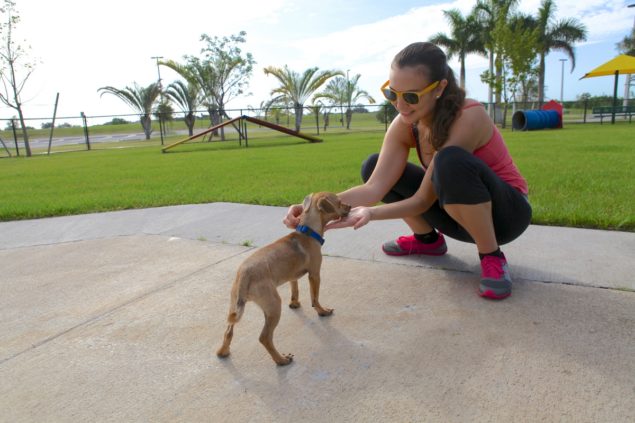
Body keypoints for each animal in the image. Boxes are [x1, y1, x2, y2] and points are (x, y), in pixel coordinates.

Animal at [216, 194, 350, 366]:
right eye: (339, 202)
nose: (350, 206)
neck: (307, 232)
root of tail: (244, 274)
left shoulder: (293, 276)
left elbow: (295, 289)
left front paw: (295, 304)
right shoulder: (315, 274)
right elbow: (315, 298)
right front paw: (322, 311)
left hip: (235, 305)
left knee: (228, 331)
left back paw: (223, 352)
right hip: (273, 306)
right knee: (264, 337)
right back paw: (281, 360)